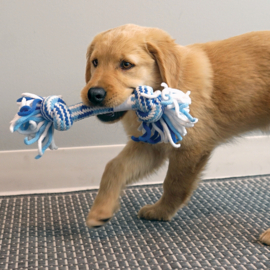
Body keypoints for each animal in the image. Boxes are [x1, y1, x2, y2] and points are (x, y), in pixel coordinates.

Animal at [80, 24, 270, 245]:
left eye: (126, 64)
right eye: (95, 62)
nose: (94, 94)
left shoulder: (190, 148)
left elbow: (174, 184)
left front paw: (161, 211)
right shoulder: (150, 146)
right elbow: (114, 167)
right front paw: (100, 210)